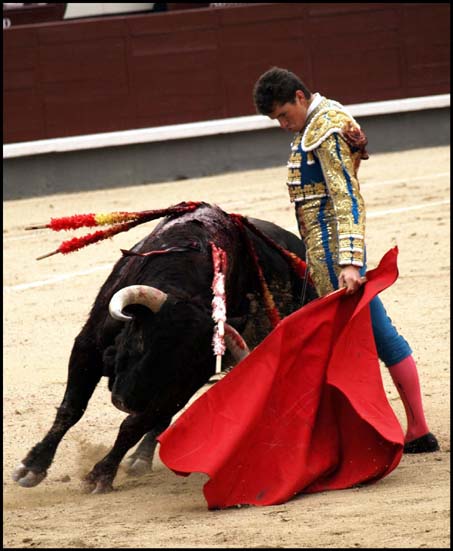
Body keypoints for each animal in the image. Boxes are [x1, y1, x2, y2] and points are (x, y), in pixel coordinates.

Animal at [12, 202, 317, 493]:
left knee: (159, 418)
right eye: (140, 340)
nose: (125, 402)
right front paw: (32, 467)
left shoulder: (186, 380)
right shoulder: (88, 346)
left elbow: (134, 425)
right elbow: (71, 408)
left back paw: (139, 458)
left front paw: (101, 475)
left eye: (184, 365)